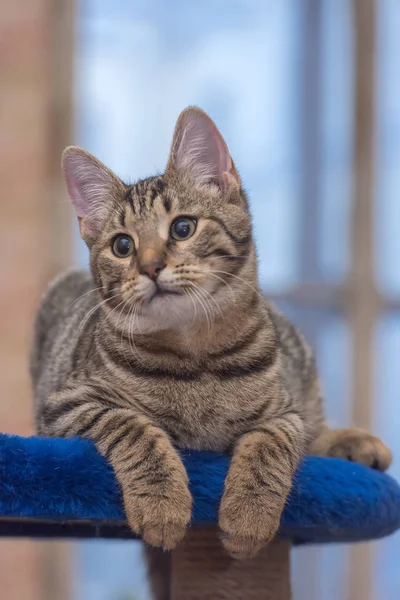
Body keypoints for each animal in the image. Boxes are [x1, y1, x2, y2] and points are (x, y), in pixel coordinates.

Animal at [30, 108, 390, 564]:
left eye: (183, 227)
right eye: (123, 246)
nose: (150, 267)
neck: (197, 356)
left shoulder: (283, 411)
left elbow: (271, 442)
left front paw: (249, 516)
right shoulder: (68, 403)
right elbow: (133, 427)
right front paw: (162, 504)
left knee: (314, 431)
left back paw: (357, 442)